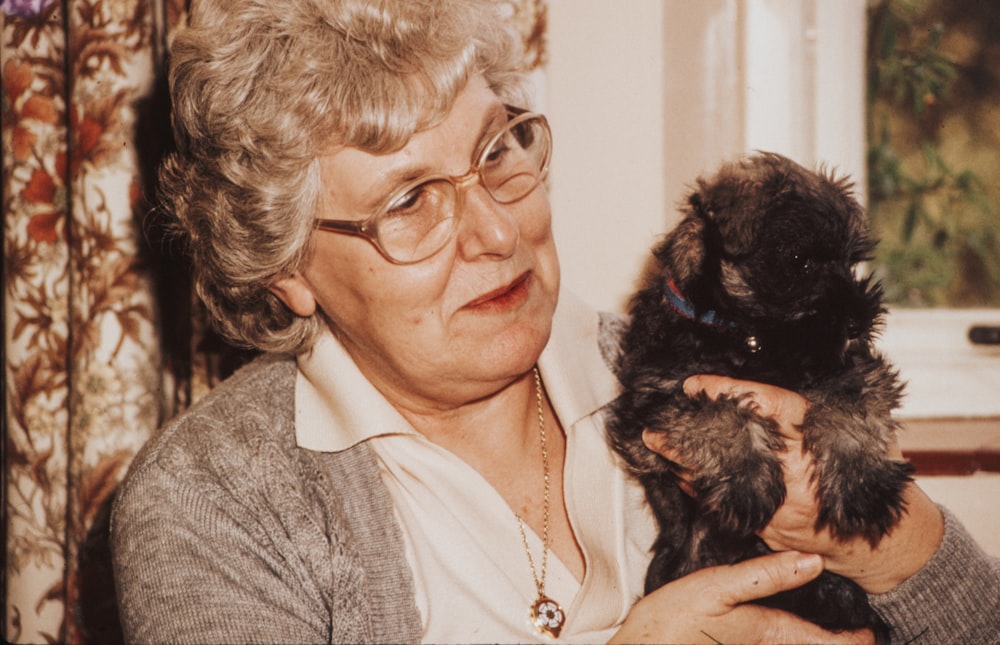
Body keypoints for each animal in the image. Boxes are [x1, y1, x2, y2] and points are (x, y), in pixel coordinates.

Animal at [604, 153, 912, 640]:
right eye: (798, 260)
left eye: (850, 262)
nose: (858, 322)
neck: (745, 336)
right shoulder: (647, 414)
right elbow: (717, 413)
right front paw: (749, 477)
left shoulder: (852, 368)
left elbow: (852, 409)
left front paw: (863, 481)